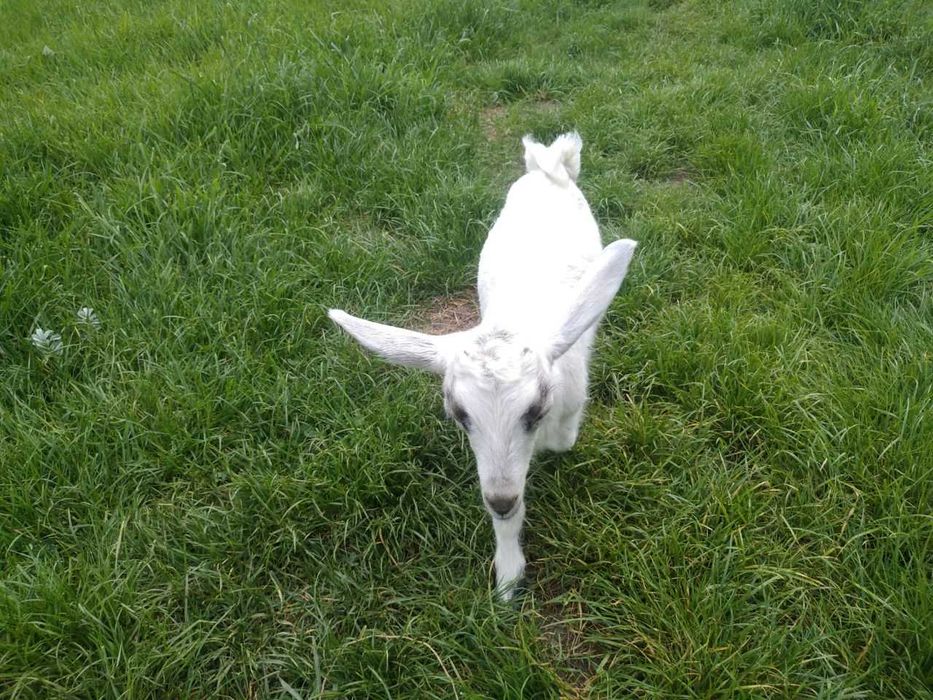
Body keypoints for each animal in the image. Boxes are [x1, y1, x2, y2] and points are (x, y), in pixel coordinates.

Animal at [329, 132, 637, 599]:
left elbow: (558, 443)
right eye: (458, 414)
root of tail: (549, 167)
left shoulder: (568, 403)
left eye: (535, 410)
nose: (501, 499)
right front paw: (508, 577)